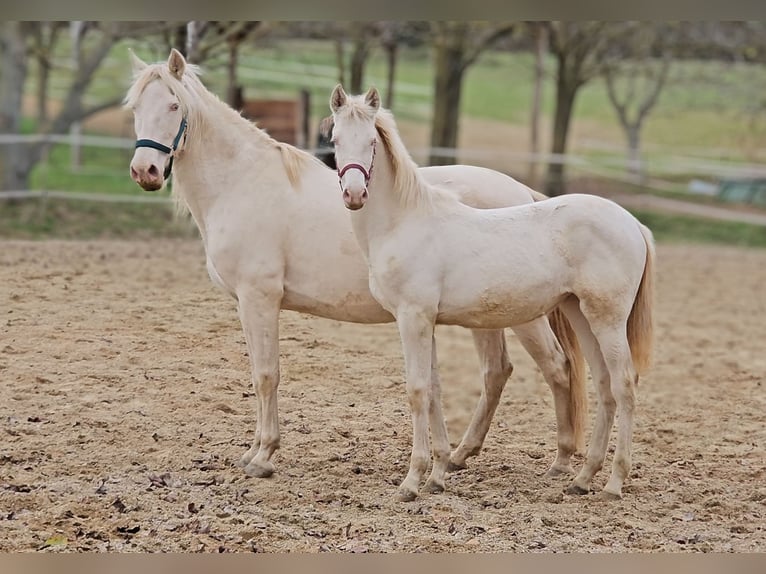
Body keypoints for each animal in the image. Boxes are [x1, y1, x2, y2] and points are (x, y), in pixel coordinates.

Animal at [126, 48, 587, 490]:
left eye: (173, 105)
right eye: (135, 106)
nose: (145, 171)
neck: (242, 183)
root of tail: (522, 192)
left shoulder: (259, 298)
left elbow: (266, 374)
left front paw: (264, 456)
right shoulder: (248, 303)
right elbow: (259, 373)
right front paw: (253, 451)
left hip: (522, 316)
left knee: (554, 367)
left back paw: (562, 461)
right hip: (485, 315)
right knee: (497, 372)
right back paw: (458, 456)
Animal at [329, 85, 655, 500]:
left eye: (371, 141)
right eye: (335, 140)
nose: (354, 195)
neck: (406, 221)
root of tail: (633, 224)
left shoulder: (412, 318)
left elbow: (417, 391)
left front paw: (412, 482)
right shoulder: (426, 322)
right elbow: (434, 391)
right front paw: (438, 474)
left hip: (607, 320)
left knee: (624, 384)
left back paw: (613, 483)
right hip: (582, 315)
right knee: (604, 384)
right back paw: (582, 478)